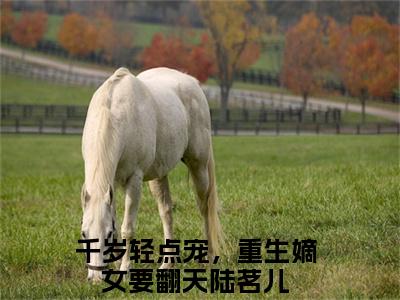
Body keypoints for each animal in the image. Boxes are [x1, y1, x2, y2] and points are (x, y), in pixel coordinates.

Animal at [79, 67, 222, 282]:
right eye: (84, 234)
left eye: (108, 234)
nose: (95, 278)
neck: (115, 115)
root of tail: (192, 81)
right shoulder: (111, 184)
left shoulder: (134, 181)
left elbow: (127, 228)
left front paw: (124, 270)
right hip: (158, 175)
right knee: (166, 212)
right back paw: (167, 264)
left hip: (199, 166)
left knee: (205, 208)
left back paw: (209, 256)